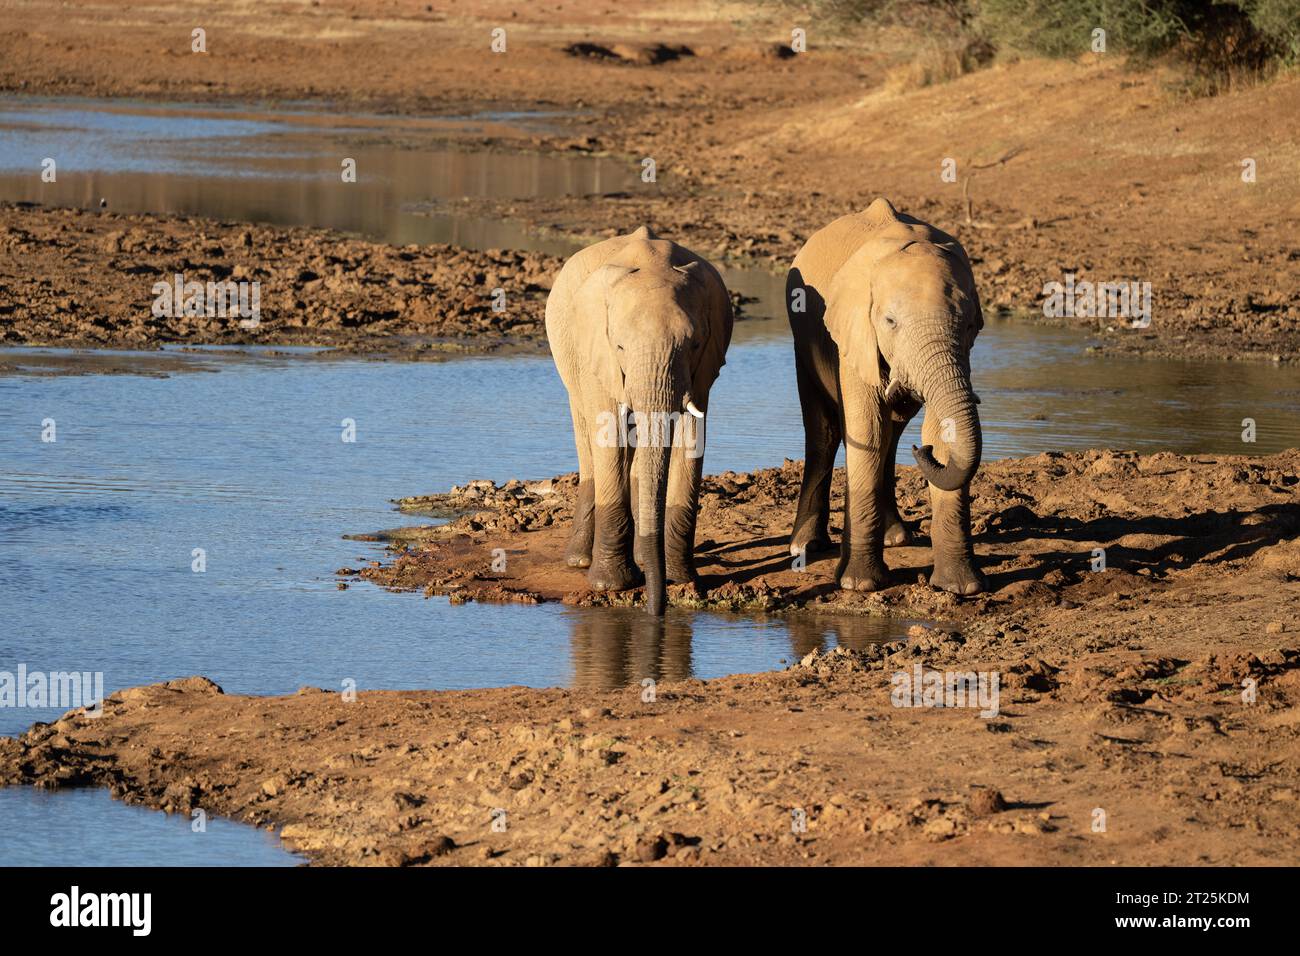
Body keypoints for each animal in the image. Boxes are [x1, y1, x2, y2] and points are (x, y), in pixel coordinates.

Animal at [546, 225, 733, 616]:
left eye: (694, 345)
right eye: (619, 347)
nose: (656, 611)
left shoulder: (703, 368)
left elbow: (691, 440)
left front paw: (680, 578)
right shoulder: (598, 355)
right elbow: (610, 439)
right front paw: (611, 585)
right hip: (570, 360)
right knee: (588, 442)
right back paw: (579, 561)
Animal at [780, 197, 982, 595]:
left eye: (969, 325)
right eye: (890, 322)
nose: (923, 453)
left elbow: (941, 429)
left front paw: (961, 588)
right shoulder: (854, 334)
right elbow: (866, 429)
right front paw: (859, 584)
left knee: (892, 433)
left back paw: (896, 537)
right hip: (803, 337)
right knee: (825, 432)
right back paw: (805, 546)